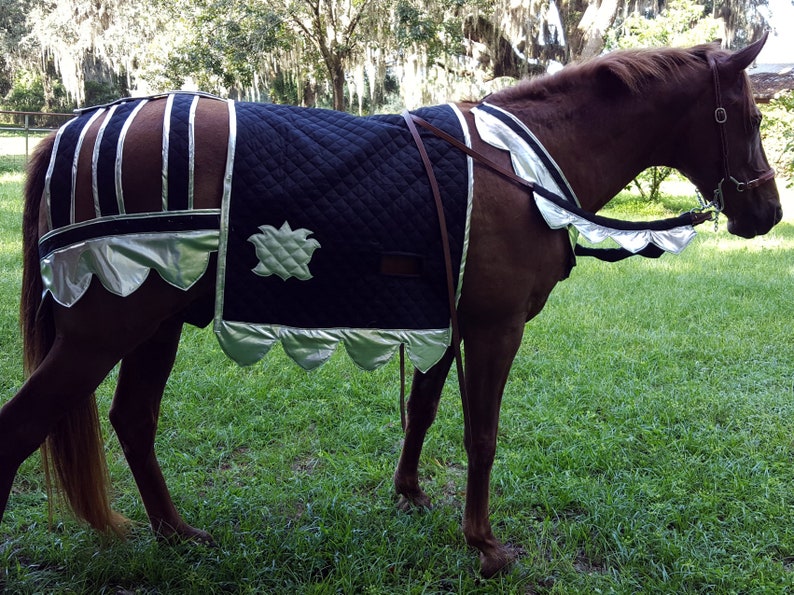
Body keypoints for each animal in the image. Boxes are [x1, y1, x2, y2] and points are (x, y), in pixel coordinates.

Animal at [0, 35, 781, 577]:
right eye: (746, 116)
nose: (769, 213)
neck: (524, 168)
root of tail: (68, 130)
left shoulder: (451, 323)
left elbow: (428, 410)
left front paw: (410, 493)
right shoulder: (494, 330)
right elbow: (481, 433)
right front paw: (483, 543)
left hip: (152, 323)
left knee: (133, 421)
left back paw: (177, 534)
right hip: (104, 330)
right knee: (24, 429)